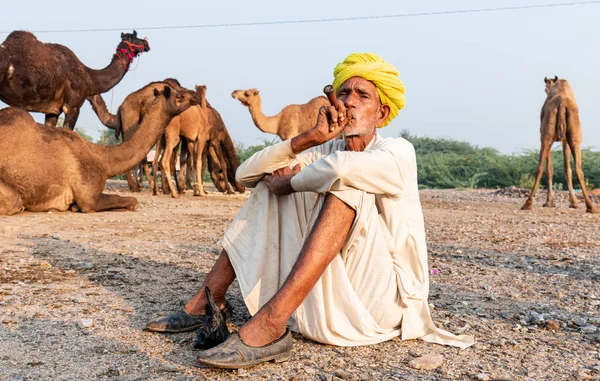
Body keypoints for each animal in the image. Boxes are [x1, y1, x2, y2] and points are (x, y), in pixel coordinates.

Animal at [0, 86, 202, 215]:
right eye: (180, 96)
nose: (196, 95)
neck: (103, 158)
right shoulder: (88, 195)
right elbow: (133, 202)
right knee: (15, 201)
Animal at [516, 76, 596, 214]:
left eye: (545, 88)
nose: (546, 90)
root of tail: (562, 103)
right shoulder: (564, 141)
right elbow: (565, 169)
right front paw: (573, 203)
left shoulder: (551, 137)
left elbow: (551, 169)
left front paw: (549, 202)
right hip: (575, 137)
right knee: (579, 169)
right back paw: (590, 207)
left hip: (546, 136)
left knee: (540, 168)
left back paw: (528, 204)